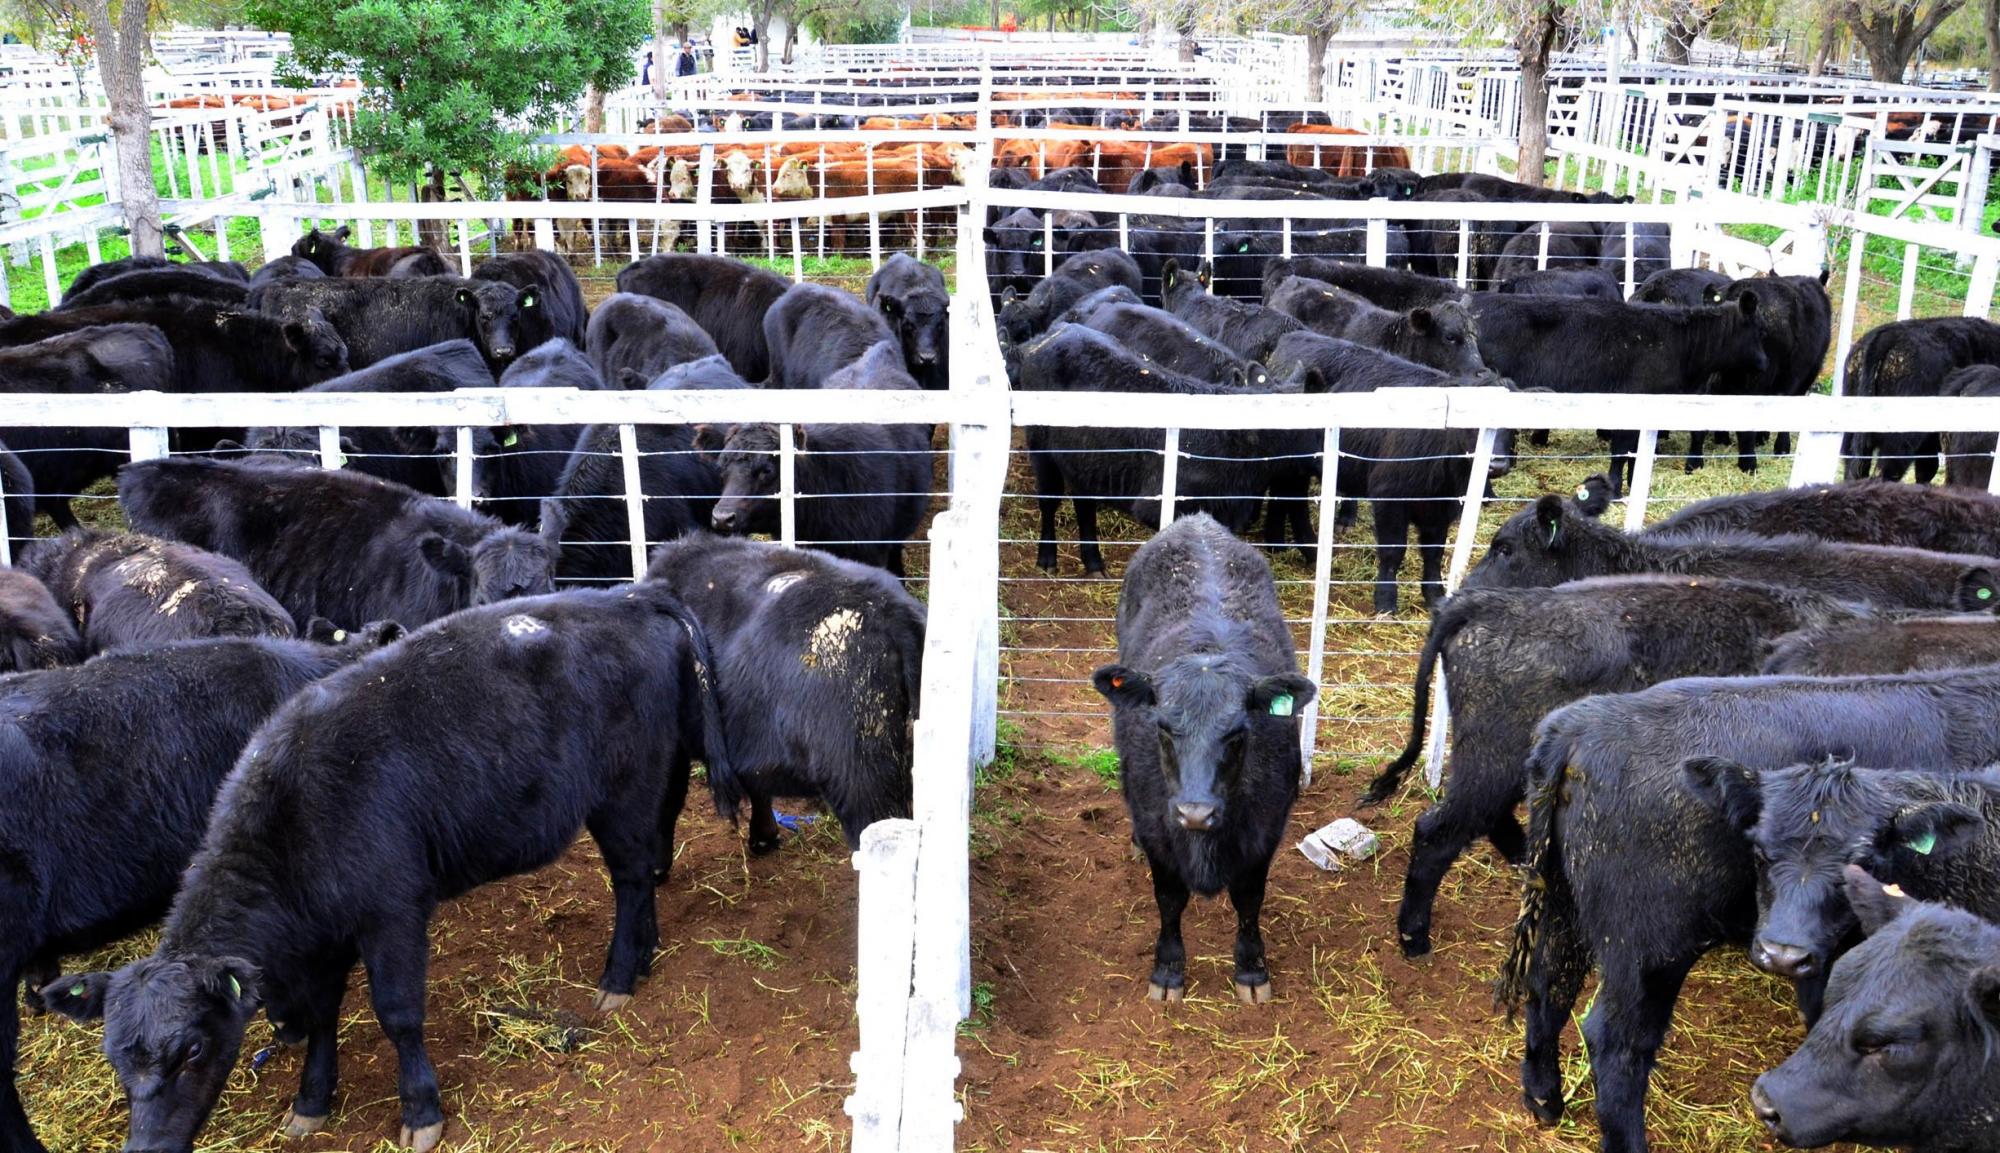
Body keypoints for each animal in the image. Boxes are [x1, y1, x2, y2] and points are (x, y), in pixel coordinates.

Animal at [45, 583, 729, 1153]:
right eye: (115, 1060)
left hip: (626, 788)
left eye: (191, 1051)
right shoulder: (321, 943)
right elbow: (322, 1017)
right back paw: (643, 956)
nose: (148, 1147)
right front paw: (311, 1101)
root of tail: (629, 595)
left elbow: (398, 1013)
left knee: (633, 877)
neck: (295, 816)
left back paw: (618, 976)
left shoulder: (392, 913)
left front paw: (421, 1111)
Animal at [1092, 514, 1315, 1004]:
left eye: (1236, 733)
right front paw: (1167, 971)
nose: (1195, 813)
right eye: (1161, 727)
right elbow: (1169, 900)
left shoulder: (1265, 833)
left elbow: (1249, 900)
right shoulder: (1158, 829)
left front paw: (1251, 970)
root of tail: (1196, 521)